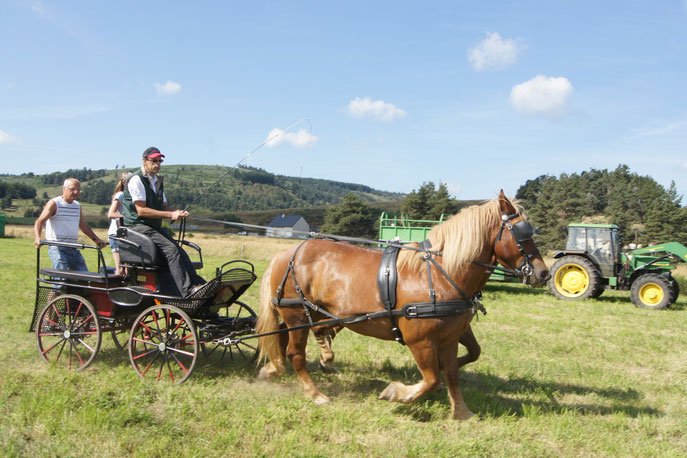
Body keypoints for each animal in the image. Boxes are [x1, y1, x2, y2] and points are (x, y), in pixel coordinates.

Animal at [255, 191, 552, 420]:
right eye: (522, 234)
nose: (543, 274)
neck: (441, 273)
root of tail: (288, 253)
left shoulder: (449, 337)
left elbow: (453, 373)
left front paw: (461, 412)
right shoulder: (419, 340)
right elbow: (431, 380)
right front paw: (396, 393)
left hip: (311, 314)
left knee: (284, 340)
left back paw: (274, 368)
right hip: (298, 316)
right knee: (295, 353)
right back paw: (314, 393)